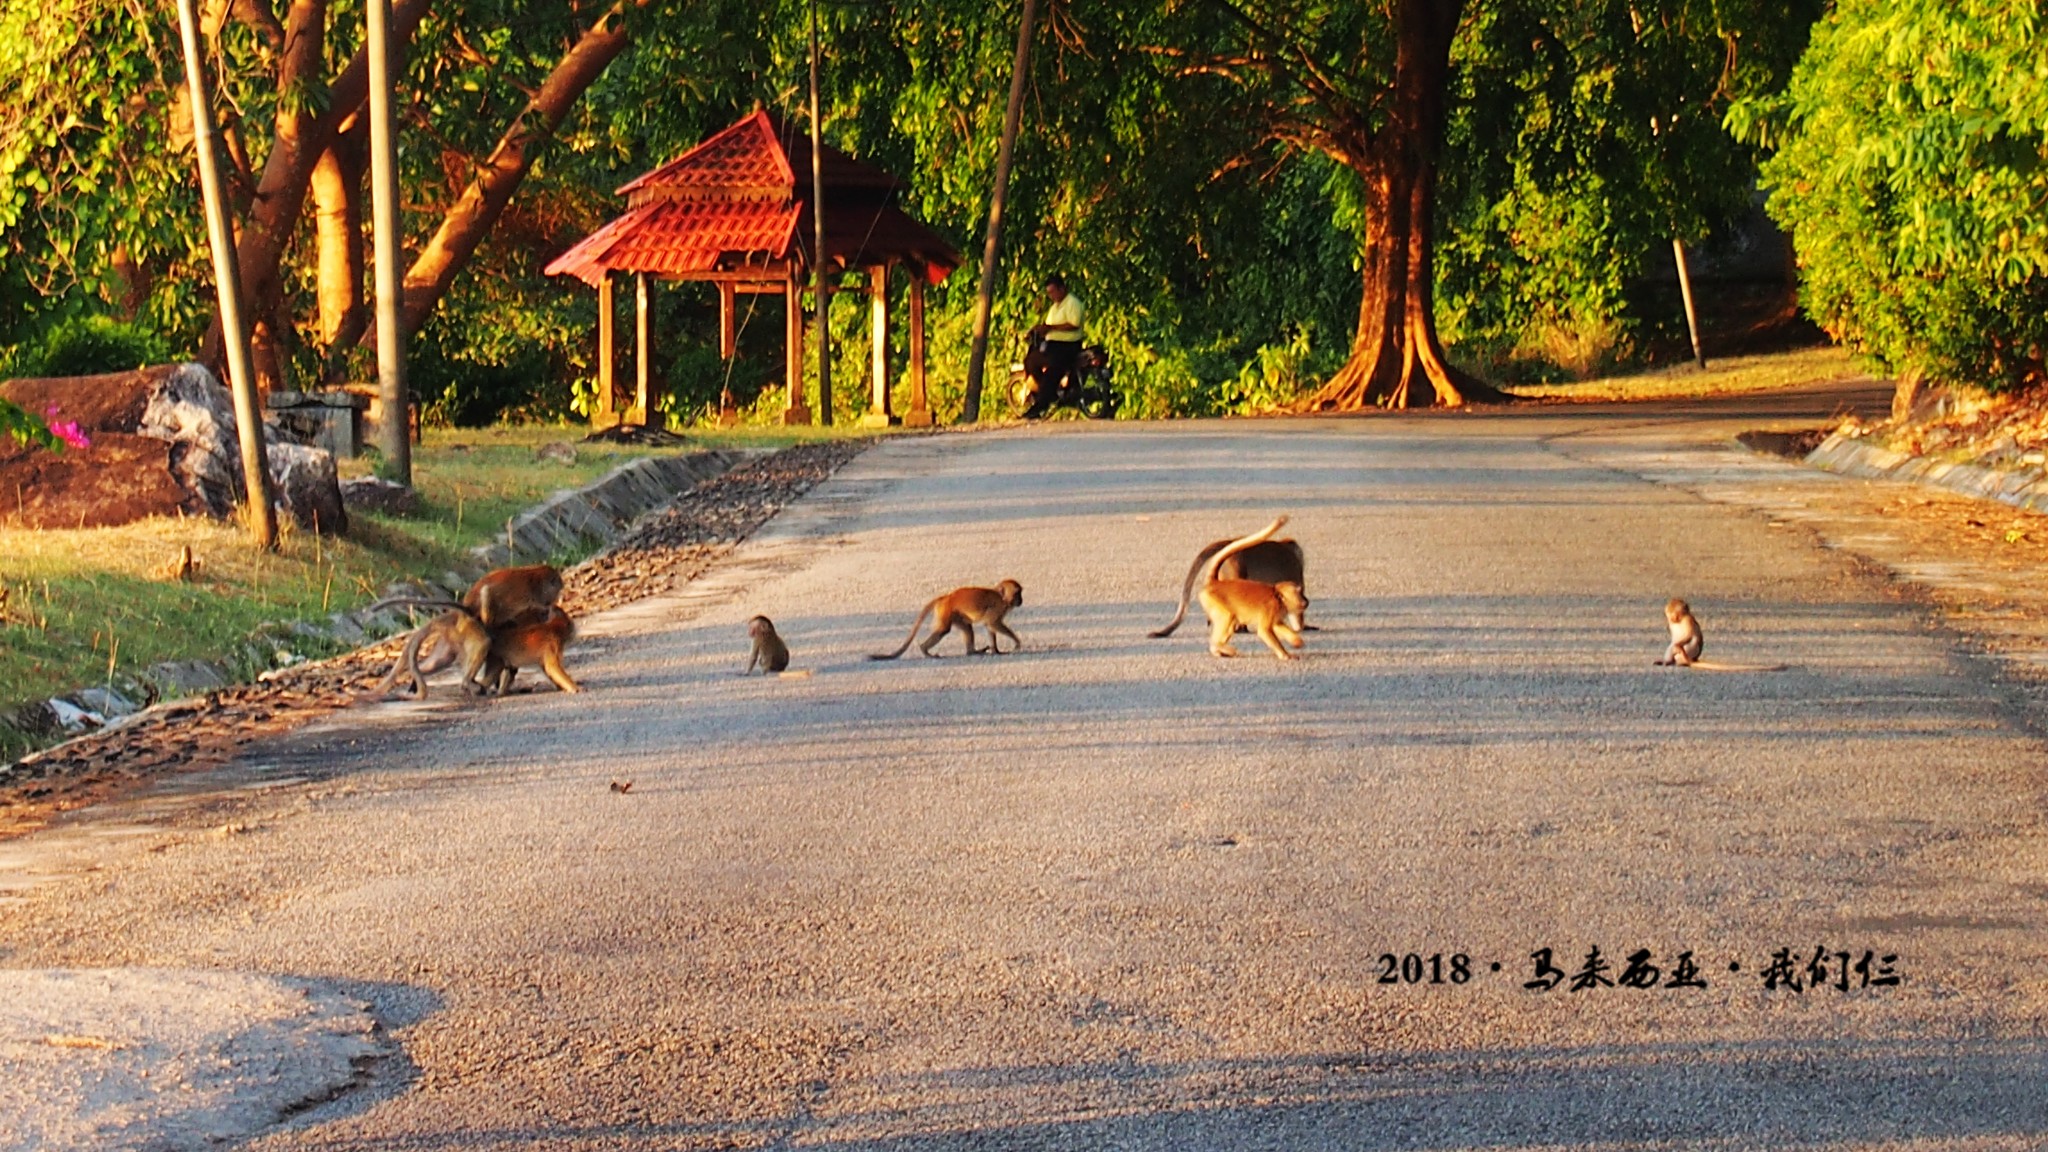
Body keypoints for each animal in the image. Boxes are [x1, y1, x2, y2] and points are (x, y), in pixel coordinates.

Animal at [864, 573, 1024, 655]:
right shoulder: (997, 607)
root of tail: (947, 597)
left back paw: (972, 651)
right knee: (943, 630)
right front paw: (1016, 642)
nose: (1021, 600)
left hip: (956, 615)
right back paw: (924, 650)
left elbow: (989, 626)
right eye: (1017, 593)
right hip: (946, 611)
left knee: (967, 628)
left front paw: (996, 650)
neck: (1002, 598)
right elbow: (992, 623)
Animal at [1196, 516, 1310, 660]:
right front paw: (1285, 654)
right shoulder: (1271, 607)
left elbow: (1277, 625)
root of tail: (1214, 583)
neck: (1278, 598)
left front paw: (1296, 641)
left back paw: (1218, 649)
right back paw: (1217, 645)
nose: (1306, 601)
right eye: (1299, 593)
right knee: (1228, 617)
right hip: (1216, 600)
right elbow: (1265, 631)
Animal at [1654, 594, 1785, 668]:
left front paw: (1678, 645)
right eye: (1670, 614)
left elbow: (1689, 636)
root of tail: (1693, 659)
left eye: (1677, 613)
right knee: (1671, 648)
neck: (1679, 621)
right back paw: (1668, 661)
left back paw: (1682, 661)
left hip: (1690, 652)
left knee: (1686, 645)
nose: (1673, 618)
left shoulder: (1688, 620)